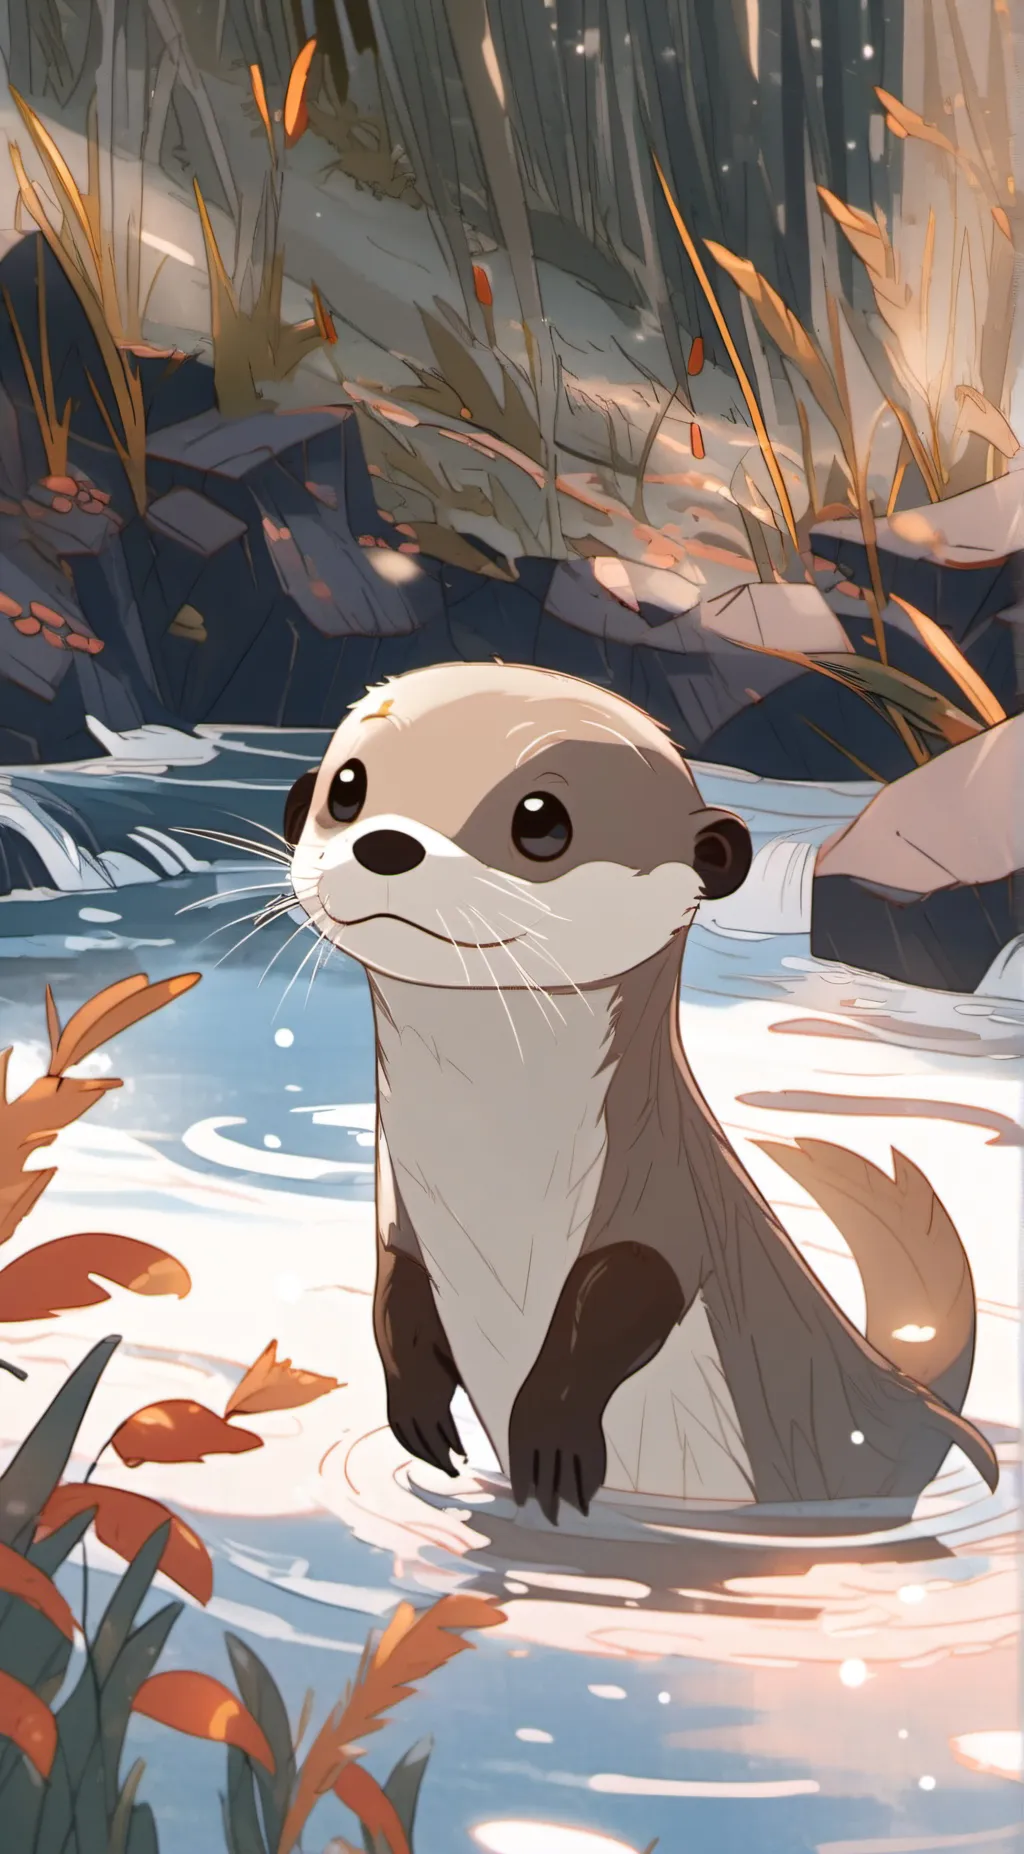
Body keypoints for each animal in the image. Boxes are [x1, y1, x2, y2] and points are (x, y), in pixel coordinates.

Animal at [283, 661, 996, 1525]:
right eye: (348, 787)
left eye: (541, 820)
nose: (387, 842)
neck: (490, 1175)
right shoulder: (400, 1209)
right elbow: (394, 1289)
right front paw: (420, 1411)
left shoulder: (659, 1189)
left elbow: (634, 1287)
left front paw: (550, 1441)